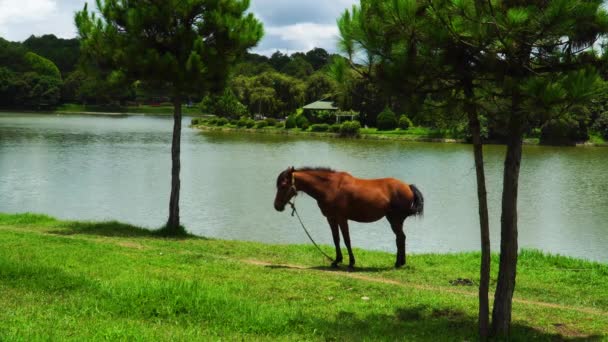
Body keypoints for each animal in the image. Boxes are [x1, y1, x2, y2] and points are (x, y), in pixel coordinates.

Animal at [274, 167, 422, 272]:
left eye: (283, 185)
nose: (277, 206)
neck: (330, 187)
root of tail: (408, 186)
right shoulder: (331, 218)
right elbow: (336, 239)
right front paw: (337, 261)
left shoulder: (341, 218)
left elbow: (347, 240)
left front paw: (351, 262)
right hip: (394, 220)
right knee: (400, 238)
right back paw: (400, 262)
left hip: (395, 220)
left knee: (400, 238)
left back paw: (398, 263)